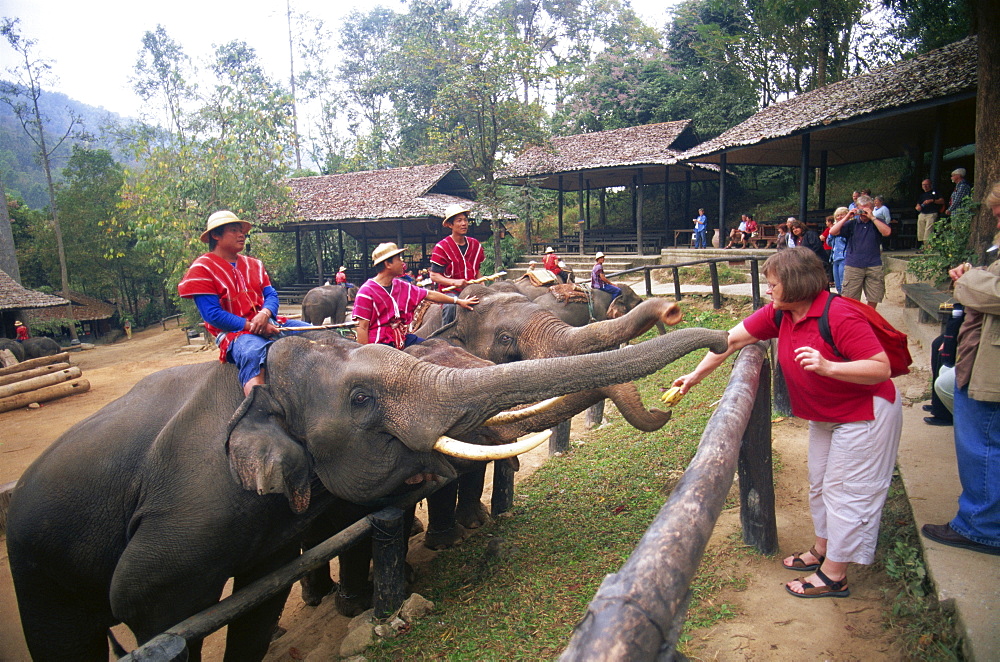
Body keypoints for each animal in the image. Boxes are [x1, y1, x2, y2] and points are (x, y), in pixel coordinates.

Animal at [5, 330, 728, 660]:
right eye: (360, 399)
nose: (721, 339)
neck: (260, 382)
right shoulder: (187, 512)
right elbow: (143, 597)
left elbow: (261, 594)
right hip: (32, 558)